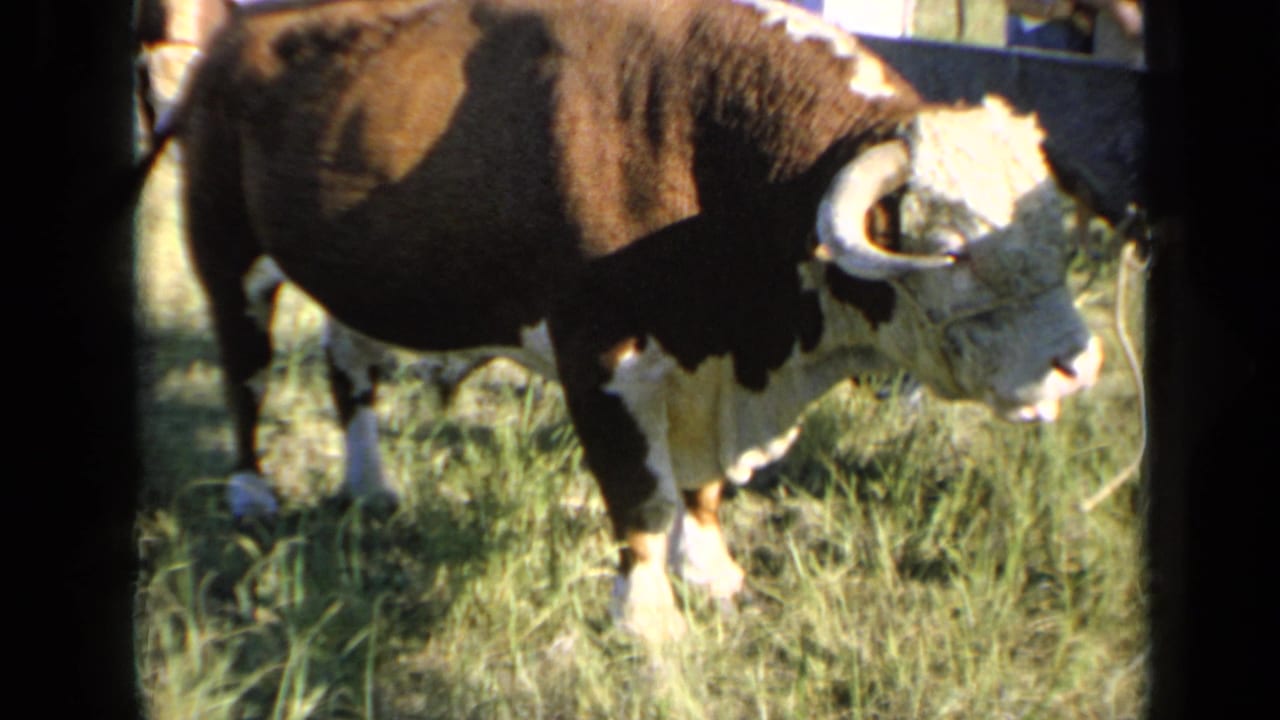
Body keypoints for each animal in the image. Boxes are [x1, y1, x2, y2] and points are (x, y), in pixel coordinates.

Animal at [148, 0, 1103, 643]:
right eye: (954, 248)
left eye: (1050, 227)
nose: (1076, 365)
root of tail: (241, 34)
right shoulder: (602, 358)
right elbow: (640, 497)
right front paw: (648, 621)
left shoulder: (703, 363)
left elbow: (701, 488)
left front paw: (712, 573)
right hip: (228, 256)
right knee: (246, 371)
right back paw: (252, 491)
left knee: (348, 365)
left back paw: (370, 484)